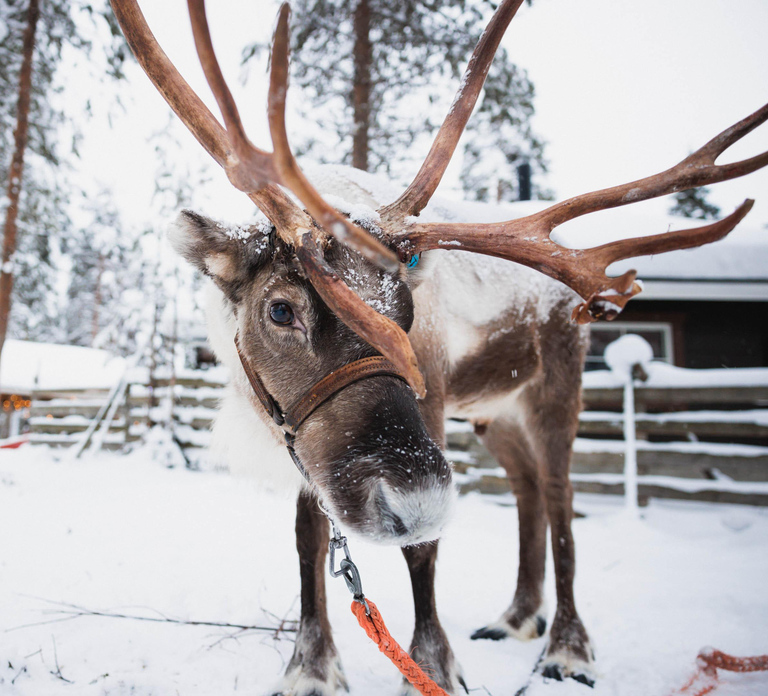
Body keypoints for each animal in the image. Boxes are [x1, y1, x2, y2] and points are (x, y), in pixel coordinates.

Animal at [111, 0, 768, 693]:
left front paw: (430, 665)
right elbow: (308, 537)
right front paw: (311, 665)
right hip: (492, 413)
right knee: (527, 489)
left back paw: (567, 649)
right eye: (281, 309)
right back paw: (516, 616)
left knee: (560, 497)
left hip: (555, 386)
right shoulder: (302, 437)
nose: (419, 500)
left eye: (406, 312)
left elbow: (423, 551)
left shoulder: (425, 407)